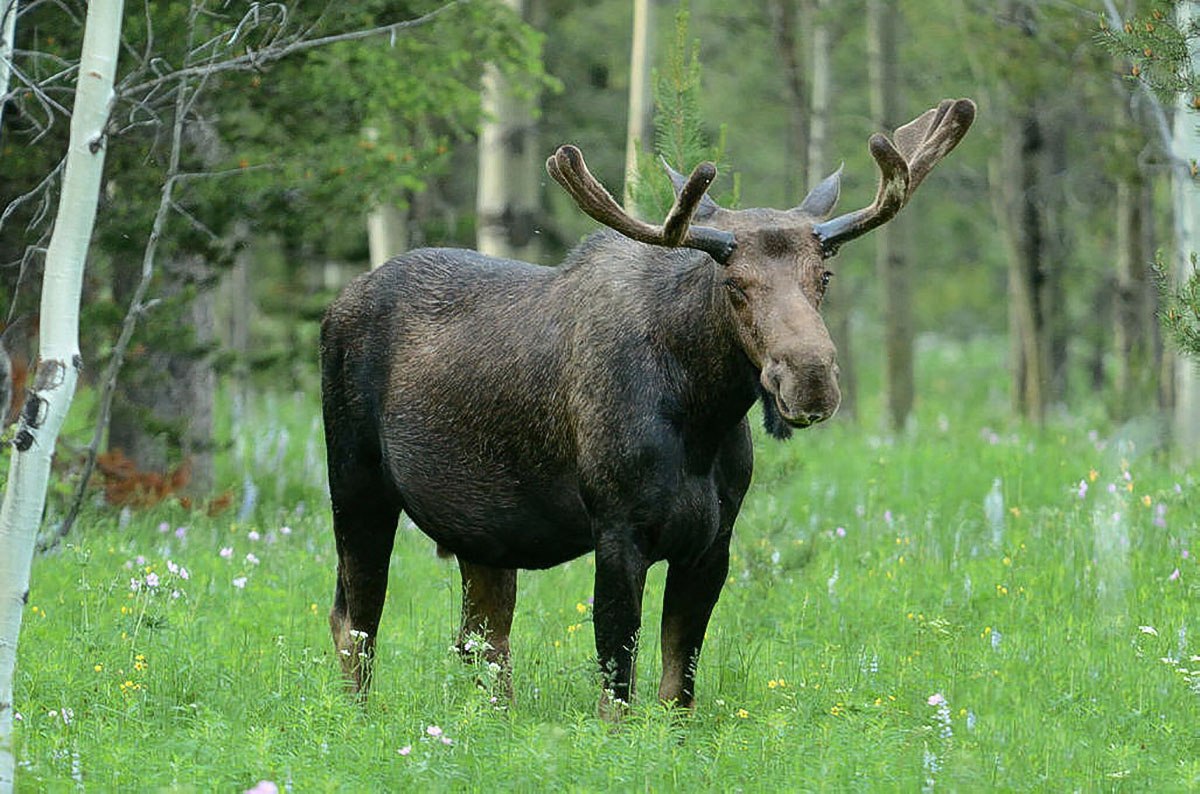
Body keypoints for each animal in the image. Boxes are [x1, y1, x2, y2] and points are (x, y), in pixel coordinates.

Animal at [321, 97, 974, 714]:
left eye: (825, 276)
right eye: (734, 284)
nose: (810, 379)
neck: (702, 419)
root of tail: (338, 302)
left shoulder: (713, 543)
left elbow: (677, 688)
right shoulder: (618, 530)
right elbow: (618, 686)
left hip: (484, 531)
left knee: (482, 639)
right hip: (356, 484)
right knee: (357, 620)